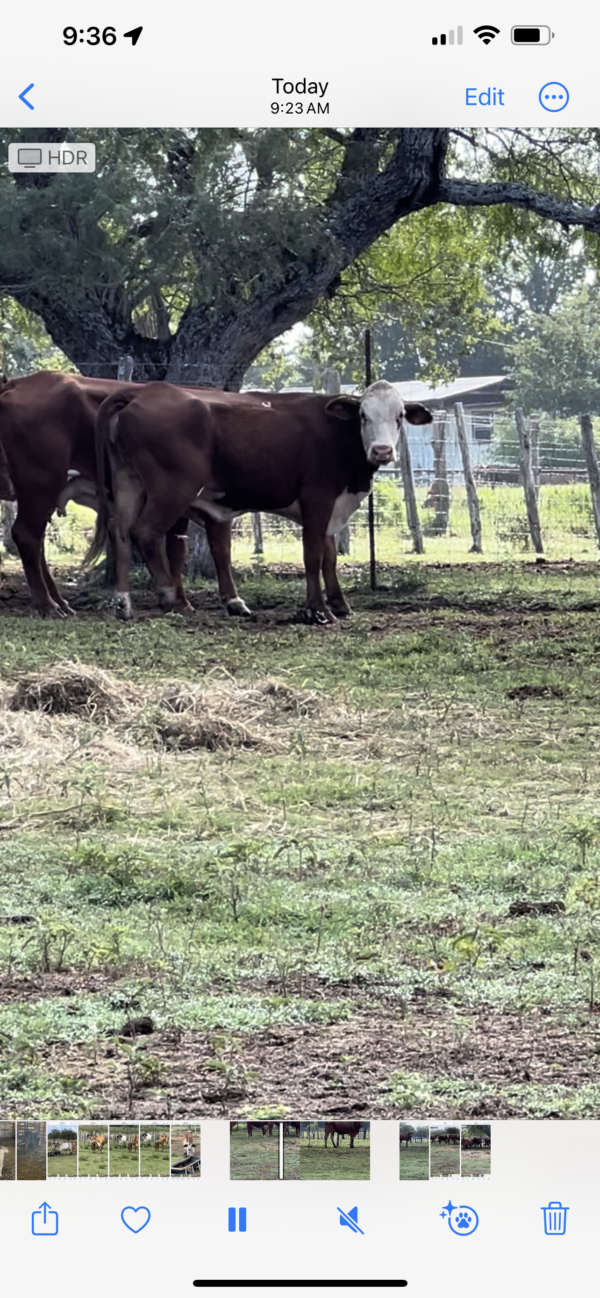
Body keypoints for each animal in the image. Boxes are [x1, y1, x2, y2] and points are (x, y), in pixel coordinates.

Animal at [93, 379, 431, 623]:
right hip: (172, 490)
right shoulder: (317, 499)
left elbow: (330, 557)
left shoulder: (333, 507)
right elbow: (313, 555)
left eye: (400, 416)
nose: (382, 451)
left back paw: (123, 602)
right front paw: (318, 609)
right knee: (145, 533)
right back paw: (170, 598)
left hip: (128, 483)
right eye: (363, 416)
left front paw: (340, 603)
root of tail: (141, 392)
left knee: (120, 533)